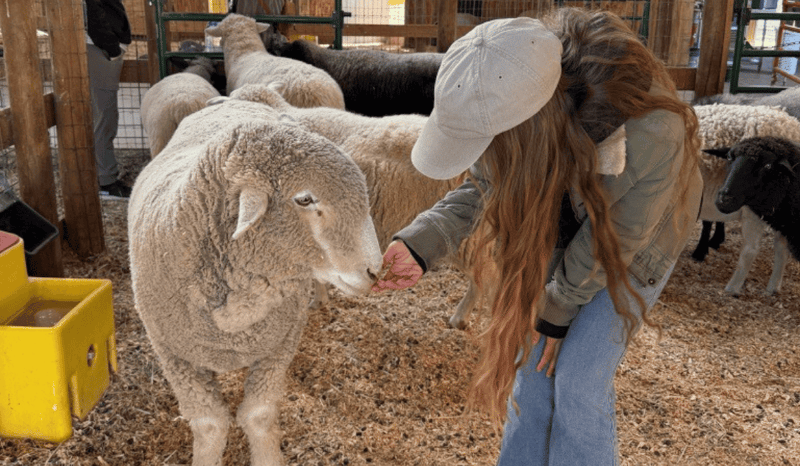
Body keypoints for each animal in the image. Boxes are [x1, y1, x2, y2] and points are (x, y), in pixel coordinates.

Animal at [128, 96, 382, 466]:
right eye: (304, 199)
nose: (376, 271)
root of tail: (231, 99)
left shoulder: (280, 345)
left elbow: (258, 415)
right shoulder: (173, 355)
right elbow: (209, 425)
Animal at [693, 103, 800, 295]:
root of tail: (791, 124)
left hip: (756, 209)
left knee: (751, 249)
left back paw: (732, 288)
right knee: (781, 247)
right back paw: (773, 287)